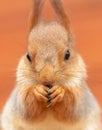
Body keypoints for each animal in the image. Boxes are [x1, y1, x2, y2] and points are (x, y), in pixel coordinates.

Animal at [0, 0, 101, 130]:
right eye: (28, 56)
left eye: (67, 54)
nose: (46, 78)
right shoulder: (20, 94)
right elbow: (27, 108)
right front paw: (37, 91)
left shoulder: (81, 96)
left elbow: (72, 108)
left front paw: (60, 91)